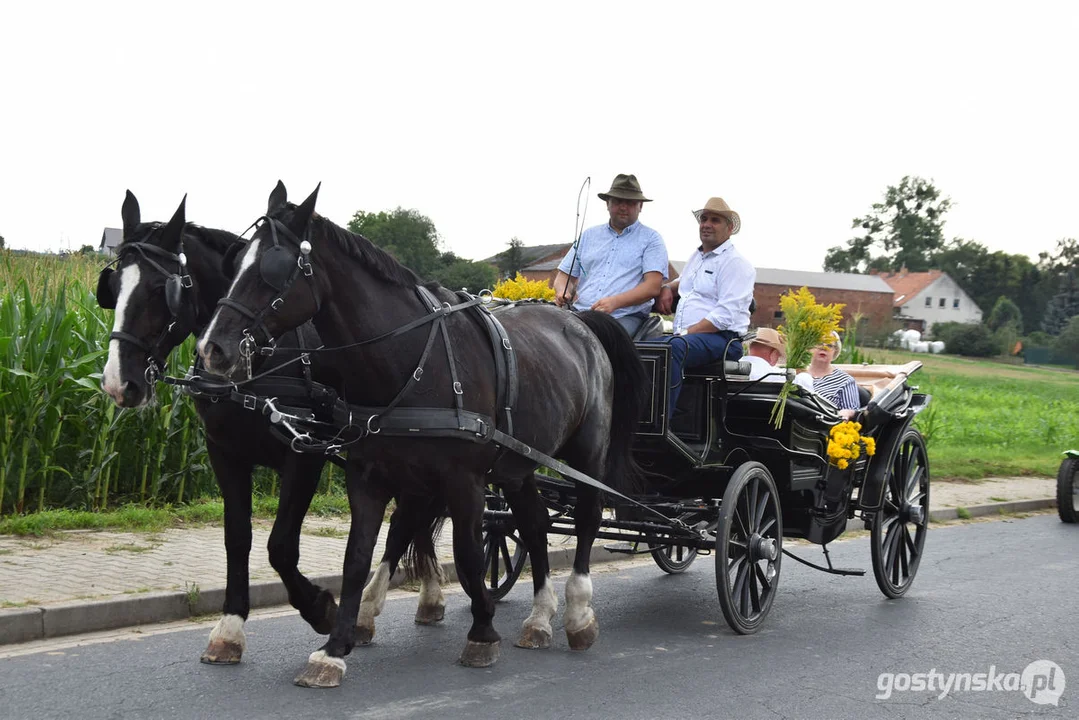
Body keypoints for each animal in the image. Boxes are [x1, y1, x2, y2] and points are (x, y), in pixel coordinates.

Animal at [94, 191, 444, 664]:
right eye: (112, 289)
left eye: (157, 289)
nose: (118, 383)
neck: (260, 359)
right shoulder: (225, 453)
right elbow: (237, 537)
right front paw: (229, 628)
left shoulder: (305, 454)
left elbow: (279, 545)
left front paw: (321, 609)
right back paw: (427, 596)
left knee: (410, 519)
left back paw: (378, 607)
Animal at [198, 183, 643, 690]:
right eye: (234, 262)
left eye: (274, 267)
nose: (211, 349)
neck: (407, 359)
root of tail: (581, 323)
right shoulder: (369, 475)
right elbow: (356, 557)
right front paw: (333, 648)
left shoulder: (463, 480)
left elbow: (467, 553)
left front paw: (482, 632)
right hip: (517, 464)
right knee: (533, 522)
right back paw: (538, 618)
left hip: (587, 451)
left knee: (587, 517)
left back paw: (577, 613)